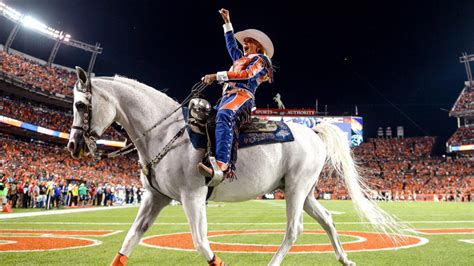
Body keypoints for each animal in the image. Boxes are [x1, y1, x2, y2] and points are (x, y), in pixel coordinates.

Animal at [68, 68, 406, 266]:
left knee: (294, 229)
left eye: (80, 105)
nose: (73, 146)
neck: (165, 134)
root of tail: (313, 132)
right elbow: (130, 238)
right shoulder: (156, 198)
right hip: (305, 192)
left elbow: (201, 243)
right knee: (327, 220)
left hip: (297, 190)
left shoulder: (192, 197)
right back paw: (345, 258)